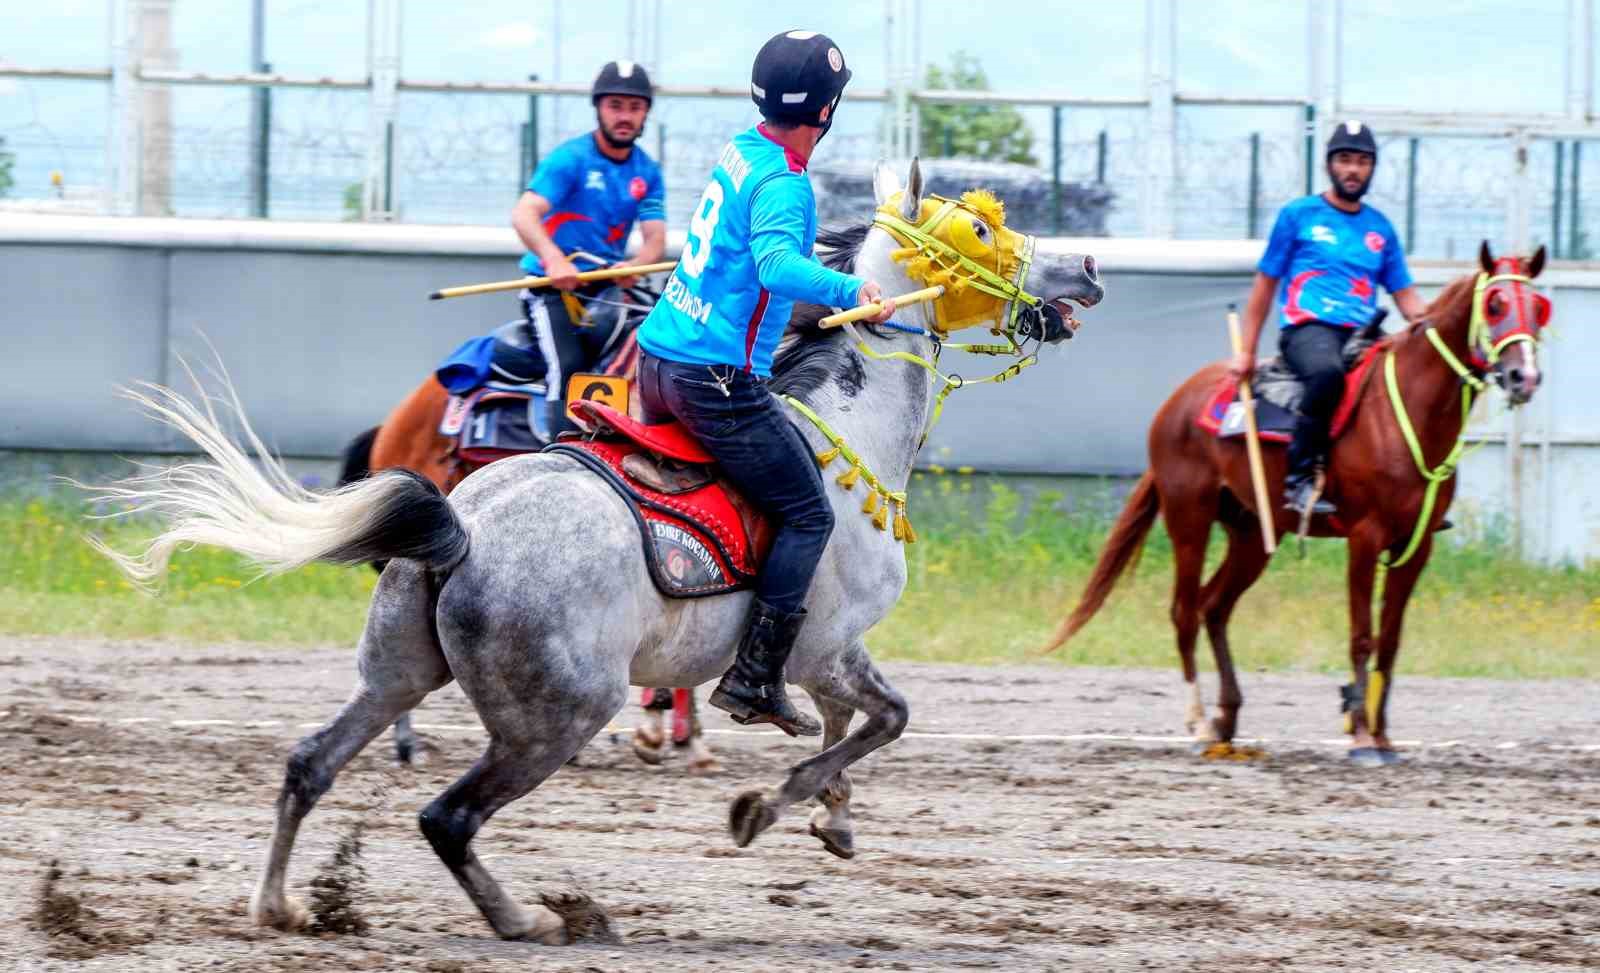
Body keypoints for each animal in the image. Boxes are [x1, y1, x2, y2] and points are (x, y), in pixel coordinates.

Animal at [93, 160, 1107, 940]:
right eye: (981, 226)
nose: (1089, 265)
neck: (843, 434)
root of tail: (461, 530)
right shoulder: (821, 644)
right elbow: (877, 719)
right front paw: (770, 806)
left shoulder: (827, 652)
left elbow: (853, 724)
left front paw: (831, 816)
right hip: (561, 714)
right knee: (447, 816)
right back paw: (532, 918)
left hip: (396, 670)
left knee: (310, 762)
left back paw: (279, 904)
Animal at [1049, 243, 1548, 768]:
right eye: (1494, 304)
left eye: (1537, 308)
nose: (1524, 375)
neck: (1408, 412)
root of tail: (1177, 403)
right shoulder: (1365, 538)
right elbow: (1362, 635)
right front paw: (1362, 737)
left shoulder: (1415, 547)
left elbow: (1390, 641)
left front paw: (1383, 736)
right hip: (1189, 520)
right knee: (1184, 611)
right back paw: (1200, 723)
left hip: (1252, 535)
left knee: (1213, 608)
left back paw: (1227, 720)